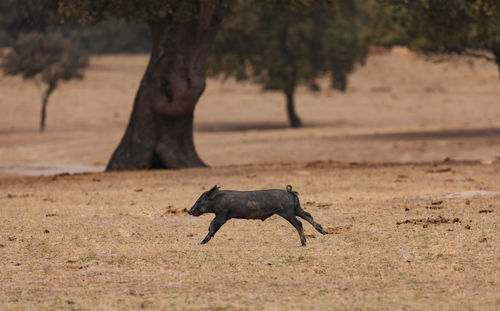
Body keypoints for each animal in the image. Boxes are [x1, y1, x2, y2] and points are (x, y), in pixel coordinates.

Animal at [189, 185, 326, 246]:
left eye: (200, 200)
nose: (189, 211)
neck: (217, 201)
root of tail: (290, 191)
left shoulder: (222, 215)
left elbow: (212, 225)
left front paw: (201, 243)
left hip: (288, 212)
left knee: (299, 223)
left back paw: (303, 243)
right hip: (296, 209)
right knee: (308, 215)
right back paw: (323, 233)